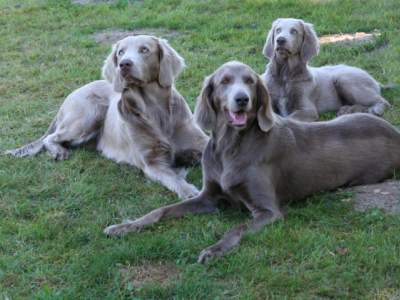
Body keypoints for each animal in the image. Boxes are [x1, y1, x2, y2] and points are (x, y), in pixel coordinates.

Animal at [260, 17, 390, 120]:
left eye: (294, 31)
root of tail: (375, 80)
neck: (285, 74)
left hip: (344, 79)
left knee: (383, 101)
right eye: (278, 30)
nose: (280, 40)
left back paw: (374, 110)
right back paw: (347, 110)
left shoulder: (307, 110)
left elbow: (288, 119)